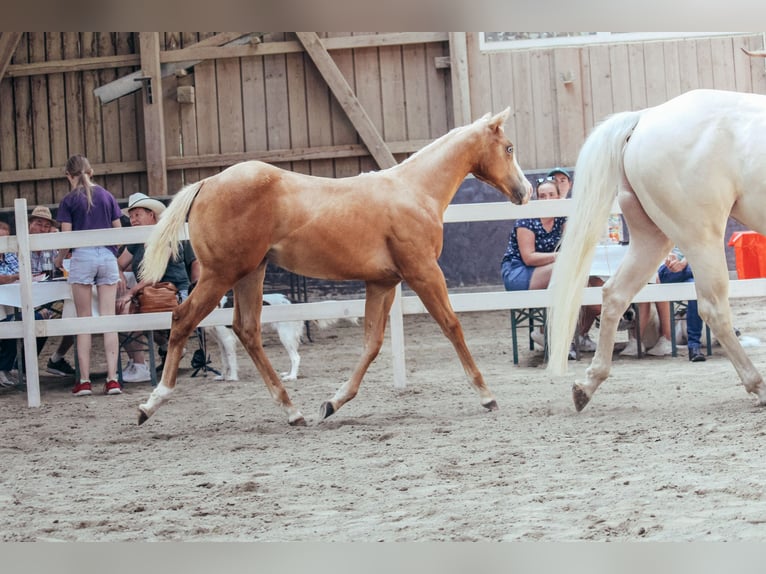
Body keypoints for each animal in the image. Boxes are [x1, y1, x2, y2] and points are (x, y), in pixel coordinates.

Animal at [136, 108, 531, 426]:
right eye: (509, 148)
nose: (526, 191)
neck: (415, 192)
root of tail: (206, 183)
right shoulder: (423, 272)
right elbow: (451, 325)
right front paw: (487, 395)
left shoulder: (383, 283)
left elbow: (372, 343)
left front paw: (332, 403)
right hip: (221, 274)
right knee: (182, 319)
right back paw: (151, 403)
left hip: (250, 273)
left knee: (246, 329)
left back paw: (293, 411)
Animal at [546, 88, 766, 411]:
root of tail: (644, 117)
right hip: (701, 237)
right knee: (713, 309)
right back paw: (759, 386)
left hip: (653, 238)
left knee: (615, 295)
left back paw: (586, 386)